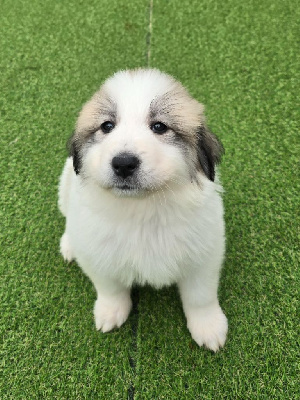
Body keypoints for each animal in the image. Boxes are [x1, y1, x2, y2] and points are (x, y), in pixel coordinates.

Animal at [58, 69, 227, 350]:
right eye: (107, 126)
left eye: (159, 126)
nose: (123, 163)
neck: (142, 209)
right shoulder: (97, 253)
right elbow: (109, 287)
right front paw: (110, 311)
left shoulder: (204, 252)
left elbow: (200, 295)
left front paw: (208, 326)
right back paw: (69, 244)